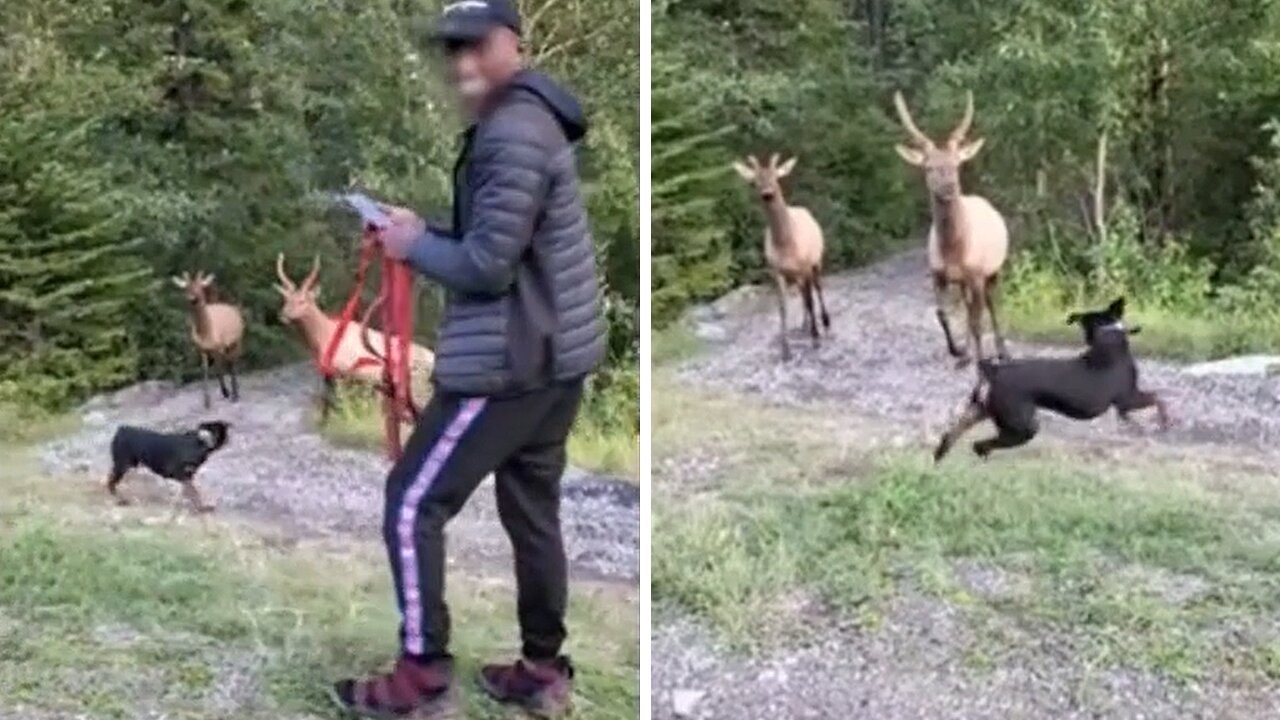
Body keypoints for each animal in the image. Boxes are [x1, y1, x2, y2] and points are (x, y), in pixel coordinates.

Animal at [171, 269, 245, 407]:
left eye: (200, 286)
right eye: (187, 287)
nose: (191, 298)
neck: (206, 333)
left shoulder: (219, 346)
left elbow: (219, 369)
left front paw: (227, 393)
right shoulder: (202, 349)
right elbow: (206, 370)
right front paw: (207, 402)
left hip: (237, 340)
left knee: (232, 363)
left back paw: (235, 395)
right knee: (228, 363)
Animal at [275, 253, 435, 417]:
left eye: (302, 301)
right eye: (286, 299)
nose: (283, 315)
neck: (325, 339)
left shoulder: (353, 372)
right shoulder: (330, 374)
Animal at [737, 155, 834, 361]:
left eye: (776, 177)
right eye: (754, 181)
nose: (767, 194)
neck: (787, 245)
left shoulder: (805, 266)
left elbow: (810, 300)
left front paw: (816, 339)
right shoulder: (776, 272)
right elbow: (782, 308)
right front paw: (785, 349)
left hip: (816, 261)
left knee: (817, 289)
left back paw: (825, 324)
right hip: (796, 274)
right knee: (804, 294)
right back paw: (804, 325)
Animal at [896, 90, 1003, 366]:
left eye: (957, 164)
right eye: (929, 167)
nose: (949, 188)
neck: (954, 250)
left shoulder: (977, 274)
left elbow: (977, 319)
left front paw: (980, 358)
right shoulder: (938, 275)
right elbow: (941, 313)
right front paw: (957, 350)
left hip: (993, 271)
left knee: (991, 304)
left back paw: (1001, 350)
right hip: (964, 281)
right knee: (968, 306)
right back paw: (966, 351)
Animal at [936, 295, 1167, 458]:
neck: (1107, 334)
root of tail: (994, 370)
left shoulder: (1126, 401)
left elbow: (1151, 401)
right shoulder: (1127, 398)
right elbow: (1158, 398)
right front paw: (1163, 422)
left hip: (987, 409)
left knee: (955, 431)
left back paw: (941, 454)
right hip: (1022, 423)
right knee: (983, 442)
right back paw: (978, 452)